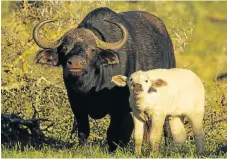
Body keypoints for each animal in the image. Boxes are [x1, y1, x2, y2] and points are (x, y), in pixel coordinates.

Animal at [33, 7, 176, 151]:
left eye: (92, 49)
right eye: (64, 48)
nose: (75, 63)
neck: (91, 87)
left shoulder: (120, 107)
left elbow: (112, 132)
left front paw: (112, 149)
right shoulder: (76, 104)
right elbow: (83, 131)